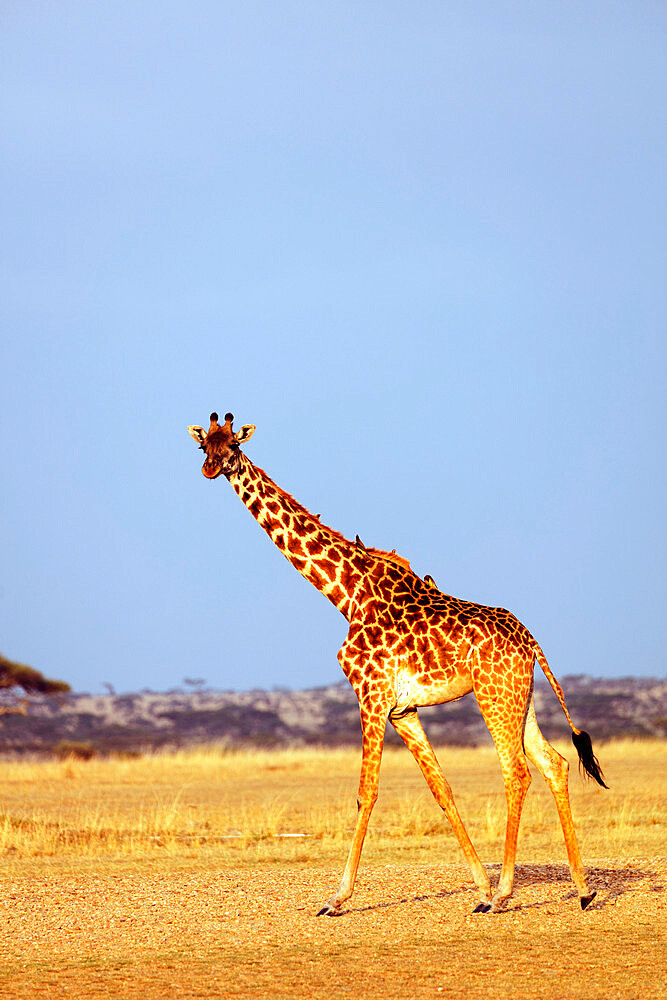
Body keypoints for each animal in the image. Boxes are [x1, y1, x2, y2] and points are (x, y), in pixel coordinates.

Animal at [187, 412, 604, 916]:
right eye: (203, 445)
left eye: (232, 444)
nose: (210, 469)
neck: (345, 593)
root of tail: (532, 642)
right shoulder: (402, 709)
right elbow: (441, 788)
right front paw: (480, 886)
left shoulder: (370, 695)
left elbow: (366, 792)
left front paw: (337, 898)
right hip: (521, 698)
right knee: (555, 764)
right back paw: (581, 889)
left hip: (493, 696)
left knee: (517, 772)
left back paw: (507, 893)